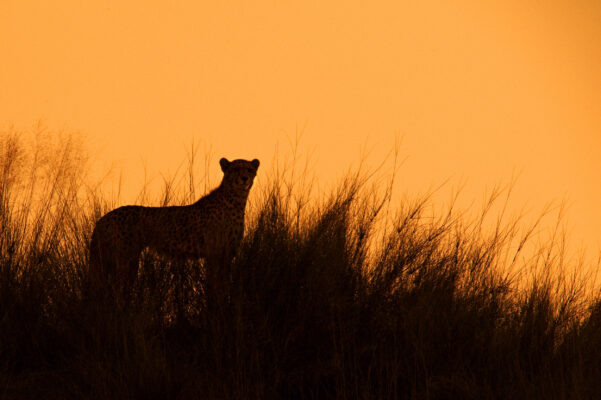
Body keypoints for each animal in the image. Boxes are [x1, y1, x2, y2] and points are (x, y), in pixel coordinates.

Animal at [88, 156, 258, 296]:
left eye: (249, 169)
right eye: (236, 169)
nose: (244, 178)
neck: (236, 200)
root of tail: (103, 218)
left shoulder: (227, 254)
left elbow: (223, 285)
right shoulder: (214, 254)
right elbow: (215, 286)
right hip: (125, 258)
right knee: (116, 289)